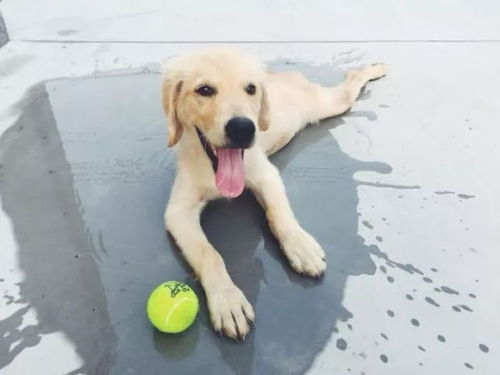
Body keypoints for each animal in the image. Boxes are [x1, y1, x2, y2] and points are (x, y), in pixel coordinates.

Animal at [163, 47, 386, 340]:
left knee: (351, 82)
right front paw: (227, 300)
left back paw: (375, 68)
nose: (243, 128)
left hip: (330, 103)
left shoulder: (267, 175)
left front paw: (300, 247)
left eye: (250, 89)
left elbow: (278, 214)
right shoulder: (178, 211)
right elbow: (209, 254)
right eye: (204, 90)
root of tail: (284, 74)